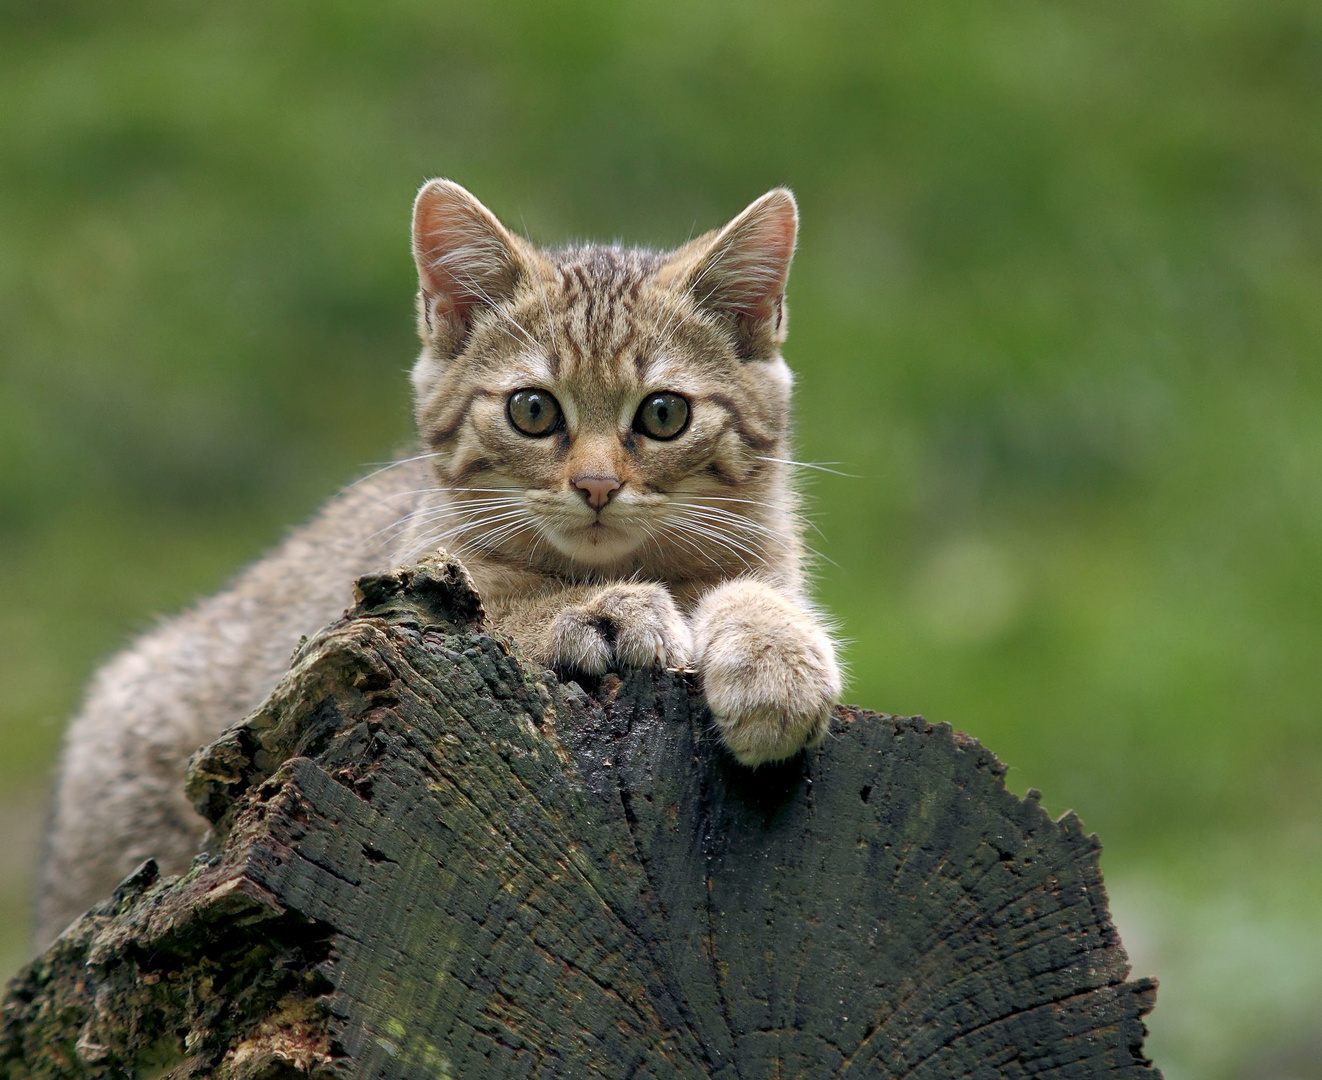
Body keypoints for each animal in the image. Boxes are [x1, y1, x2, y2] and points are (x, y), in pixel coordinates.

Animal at [36, 181, 840, 946]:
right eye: (532, 410)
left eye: (664, 414)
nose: (596, 486)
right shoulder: (392, 597)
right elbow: (505, 603)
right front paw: (605, 611)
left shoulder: (765, 556)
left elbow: (758, 592)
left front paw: (776, 660)